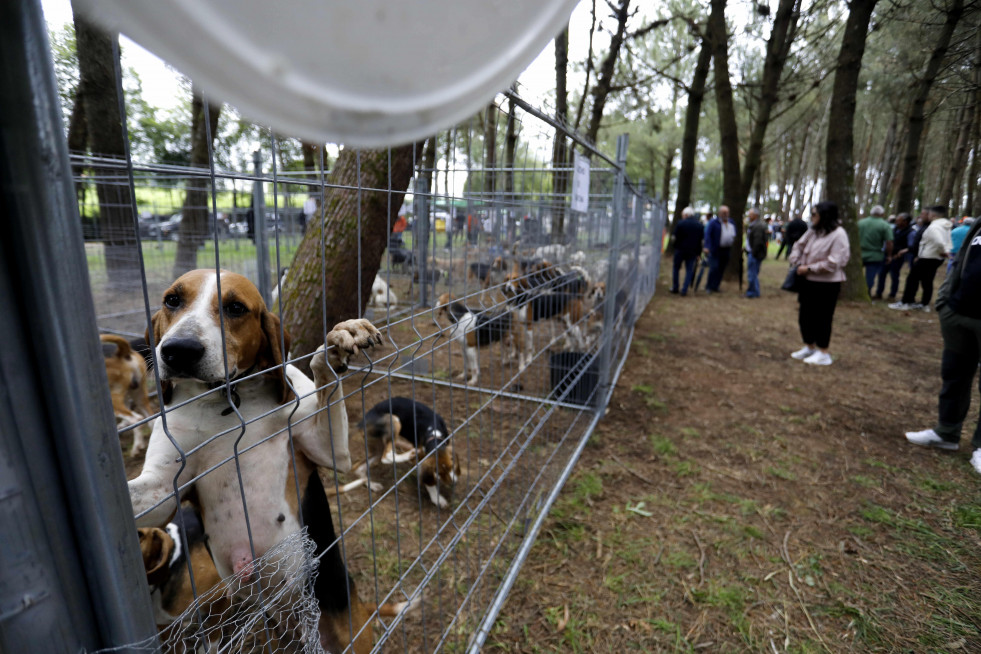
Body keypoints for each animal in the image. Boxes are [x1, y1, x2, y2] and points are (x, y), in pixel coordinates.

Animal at [128, 270, 396, 652]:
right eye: (172, 300)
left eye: (236, 308)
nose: (178, 350)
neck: (225, 401)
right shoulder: (162, 491)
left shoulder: (329, 452)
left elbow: (321, 372)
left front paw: (337, 343)